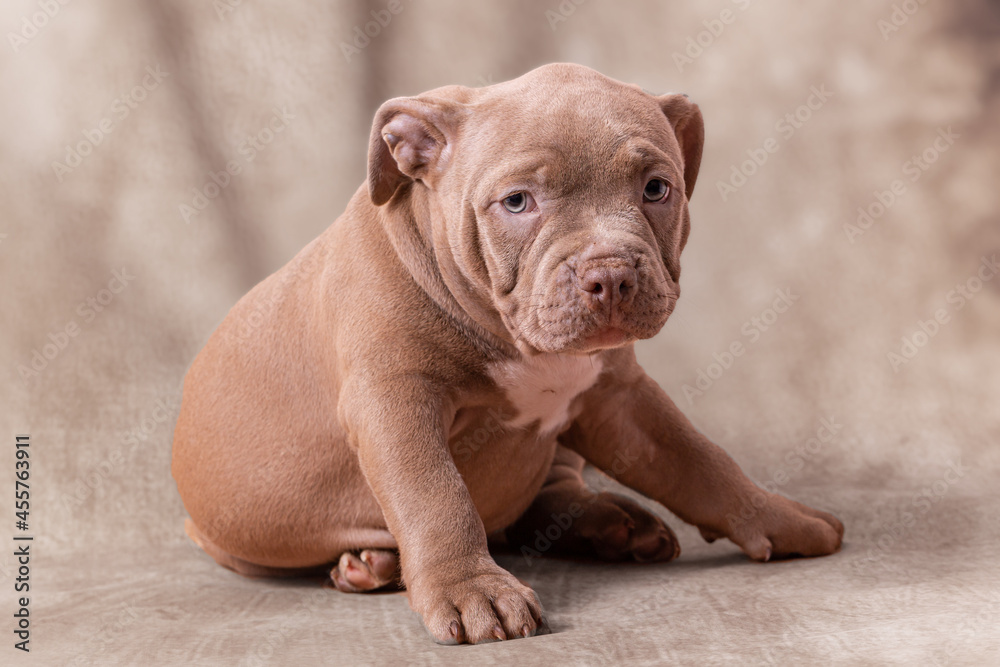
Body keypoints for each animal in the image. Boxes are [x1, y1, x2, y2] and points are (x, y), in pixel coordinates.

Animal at [172, 64, 844, 648]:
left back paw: (615, 524)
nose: (611, 275)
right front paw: (472, 590)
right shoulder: (394, 401)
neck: (513, 333)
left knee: (547, 497)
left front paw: (778, 516)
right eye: (517, 202)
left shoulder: (619, 399)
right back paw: (372, 564)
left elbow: (700, 459)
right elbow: (435, 495)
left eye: (657, 189)